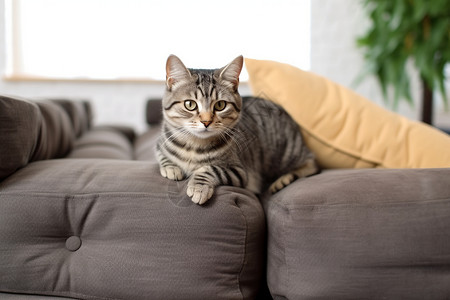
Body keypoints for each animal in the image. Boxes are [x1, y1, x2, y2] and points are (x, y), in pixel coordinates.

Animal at [156, 54, 318, 204]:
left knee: (311, 163)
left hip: (287, 152)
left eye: (220, 105)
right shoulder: (159, 145)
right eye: (190, 104)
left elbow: (209, 169)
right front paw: (172, 168)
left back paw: (283, 180)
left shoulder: (239, 172)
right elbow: (162, 156)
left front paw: (199, 187)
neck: (193, 146)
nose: (206, 121)